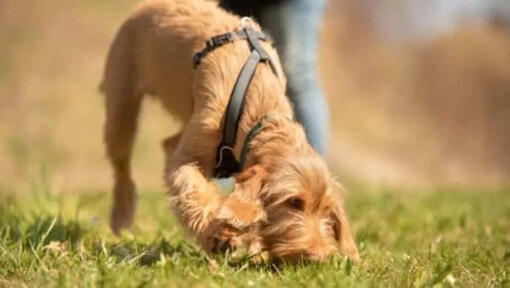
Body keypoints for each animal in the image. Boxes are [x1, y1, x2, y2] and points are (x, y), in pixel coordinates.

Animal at [102, 0, 358, 260]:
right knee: (123, 163)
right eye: (294, 202)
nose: (318, 256)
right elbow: (193, 191)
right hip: (121, 102)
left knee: (168, 142)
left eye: (326, 208)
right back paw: (121, 215)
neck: (259, 109)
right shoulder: (187, 157)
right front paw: (215, 234)